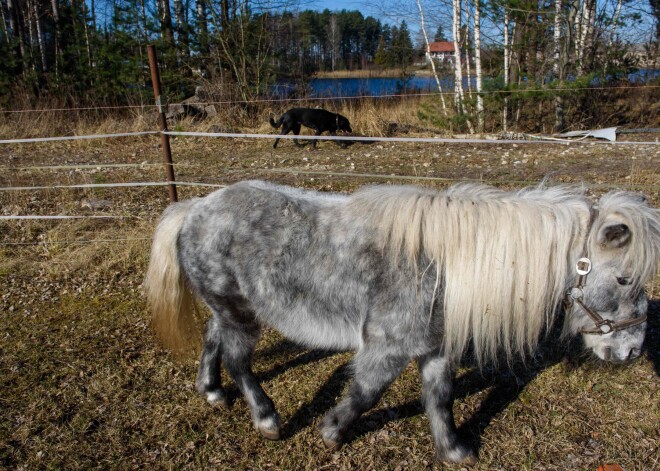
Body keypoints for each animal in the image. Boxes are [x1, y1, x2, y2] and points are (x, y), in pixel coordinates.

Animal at [146, 181, 660, 464]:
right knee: (239, 361)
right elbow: (366, 392)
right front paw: (332, 432)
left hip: (231, 309)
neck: (449, 268)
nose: (631, 350)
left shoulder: (437, 349)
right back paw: (267, 419)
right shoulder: (388, 346)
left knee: (212, 339)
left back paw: (211, 392)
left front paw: (453, 451)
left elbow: (440, 398)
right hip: (240, 315)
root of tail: (193, 208)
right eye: (625, 278)